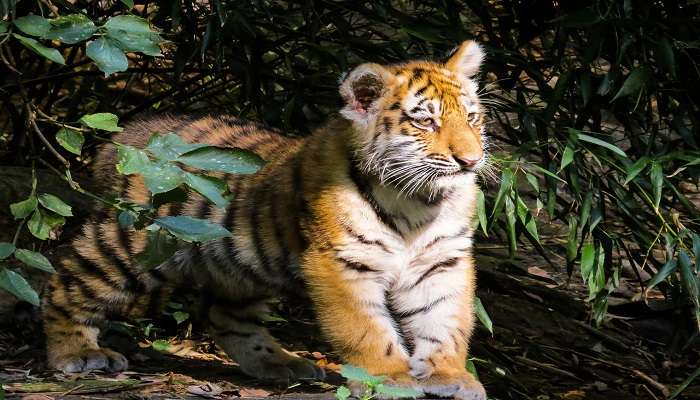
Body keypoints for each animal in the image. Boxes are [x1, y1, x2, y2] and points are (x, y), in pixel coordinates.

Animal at [43, 41, 490, 400]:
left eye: (472, 118)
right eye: (425, 121)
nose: (470, 161)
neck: (417, 202)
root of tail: (129, 136)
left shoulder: (442, 262)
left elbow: (444, 321)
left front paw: (449, 376)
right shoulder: (341, 263)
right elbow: (365, 329)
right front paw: (391, 378)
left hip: (242, 264)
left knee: (225, 317)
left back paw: (281, 364)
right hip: (132, 243)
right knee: (64, 280)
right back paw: (76, 353)